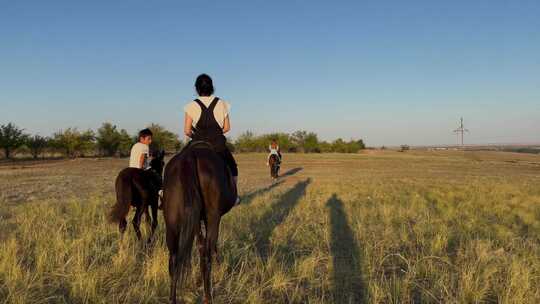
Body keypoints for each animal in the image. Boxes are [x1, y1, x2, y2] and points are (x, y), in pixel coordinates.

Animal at [161, 142, 235, 304]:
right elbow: (208, 247)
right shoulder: (207, 219)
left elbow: (199, 245)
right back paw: (208, 296)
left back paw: (173, 298)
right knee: (207, 253)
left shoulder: (195, 221)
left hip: (172, 224)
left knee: (174, 258)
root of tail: (190, 157)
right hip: (212, 217)